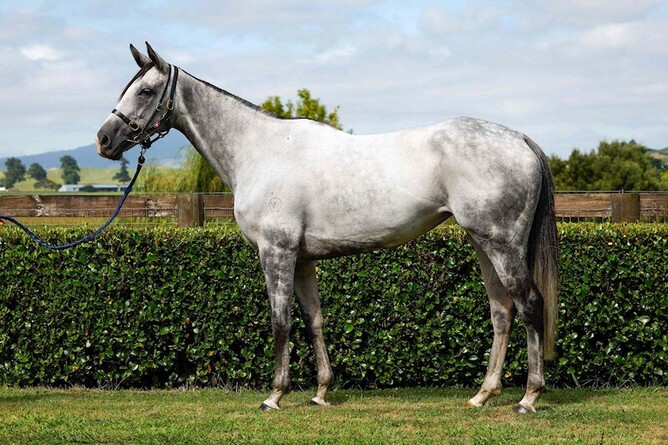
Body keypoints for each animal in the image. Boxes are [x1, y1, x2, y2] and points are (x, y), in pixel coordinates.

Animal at [95, 43, 559, 413]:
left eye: (146, 90)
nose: (103, 139)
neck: (259, 150)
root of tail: (518, 138)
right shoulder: (302, 259)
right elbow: (312, 319)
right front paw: (320, 392)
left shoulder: (276, 252)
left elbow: (280, 321)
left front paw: (274, 396)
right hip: (483, 244)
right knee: (502, 311)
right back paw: (483, 394)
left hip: (502, 245)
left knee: (530, 304)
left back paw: (528, 398)